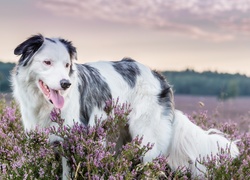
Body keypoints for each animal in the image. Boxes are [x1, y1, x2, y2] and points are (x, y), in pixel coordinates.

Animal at [11, 34, 238, 179]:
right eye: (47, 62)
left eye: (67, 65)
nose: (66, 83)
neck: (44, 106)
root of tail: (158, 76)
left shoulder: (72, 140)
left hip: (146, 139)